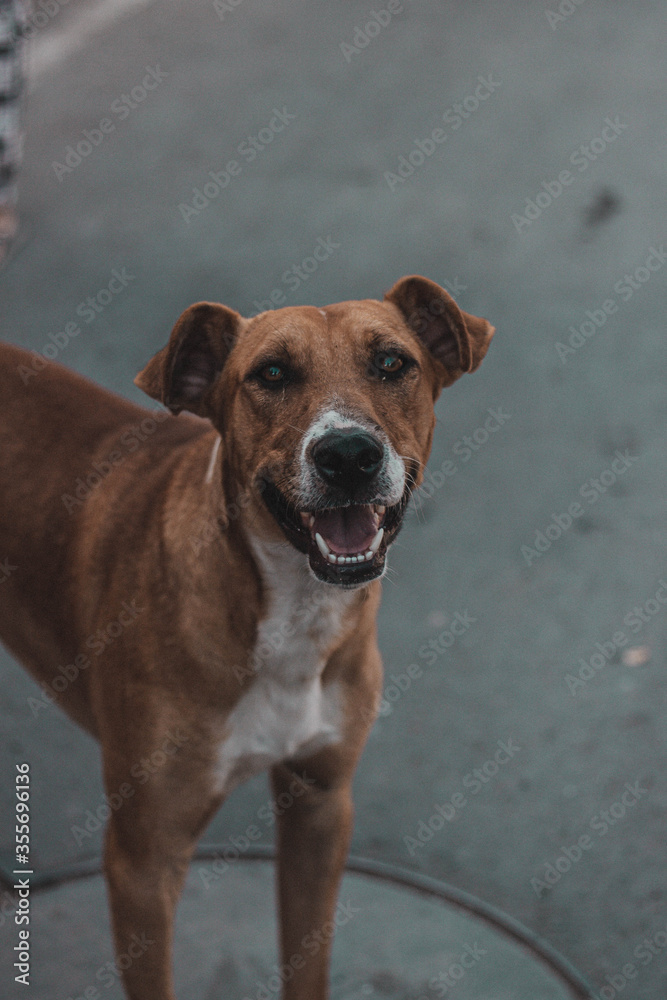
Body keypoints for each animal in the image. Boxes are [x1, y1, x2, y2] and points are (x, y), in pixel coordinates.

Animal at [0, 278, 490, 1000]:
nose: (348, 454)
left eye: (391, 363)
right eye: (272, 374)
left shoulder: (320, 804)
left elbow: (307, 960)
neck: (289, 614)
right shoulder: (142, 862)